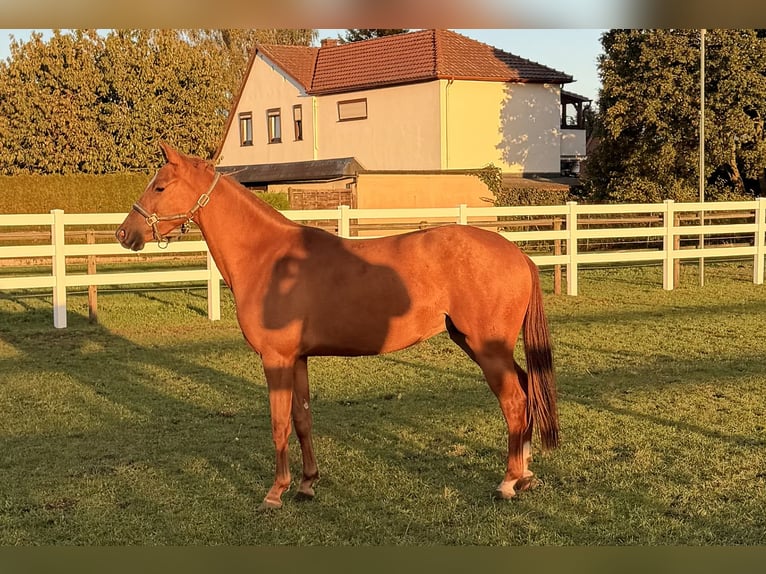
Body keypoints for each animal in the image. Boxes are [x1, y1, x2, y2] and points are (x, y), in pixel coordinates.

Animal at [116, 143, 559, 510]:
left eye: (159, 186)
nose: (124, 233)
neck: (269, 258)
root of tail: (518, 255)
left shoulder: (276, 359)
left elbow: (279, 424)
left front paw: (275, 492)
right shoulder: (297, 359)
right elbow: (302, 420)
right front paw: (307, 484)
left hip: (487, 347)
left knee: (514, 402)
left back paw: (508, 482)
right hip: (478, 344)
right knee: (526, 392)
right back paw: (526, 474)